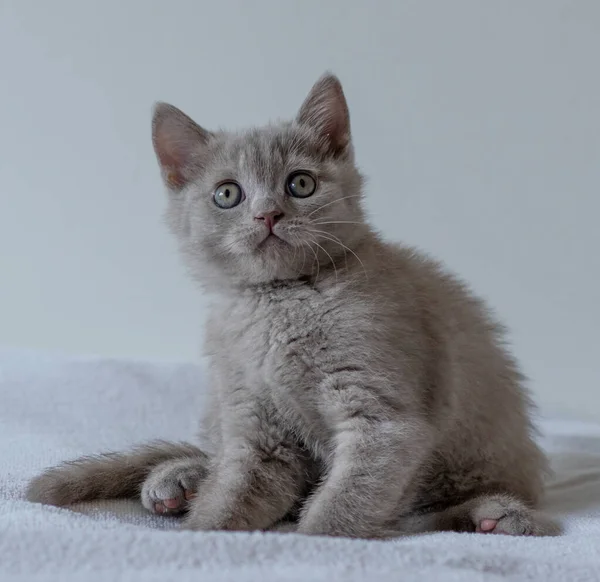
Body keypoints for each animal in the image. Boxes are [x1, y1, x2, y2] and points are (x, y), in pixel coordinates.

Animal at [24, 75, 556, 540]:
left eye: (300, 184)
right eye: (227, 194)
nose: (268, 214)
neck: (278, 304)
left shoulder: (383, 420)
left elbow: (344, 504)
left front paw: (315, 544)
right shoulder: (255, 427)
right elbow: (230, 494)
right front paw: (201, 532)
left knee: (436, 513)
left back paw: (497, 515)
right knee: (213, 455)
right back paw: (179, 479)